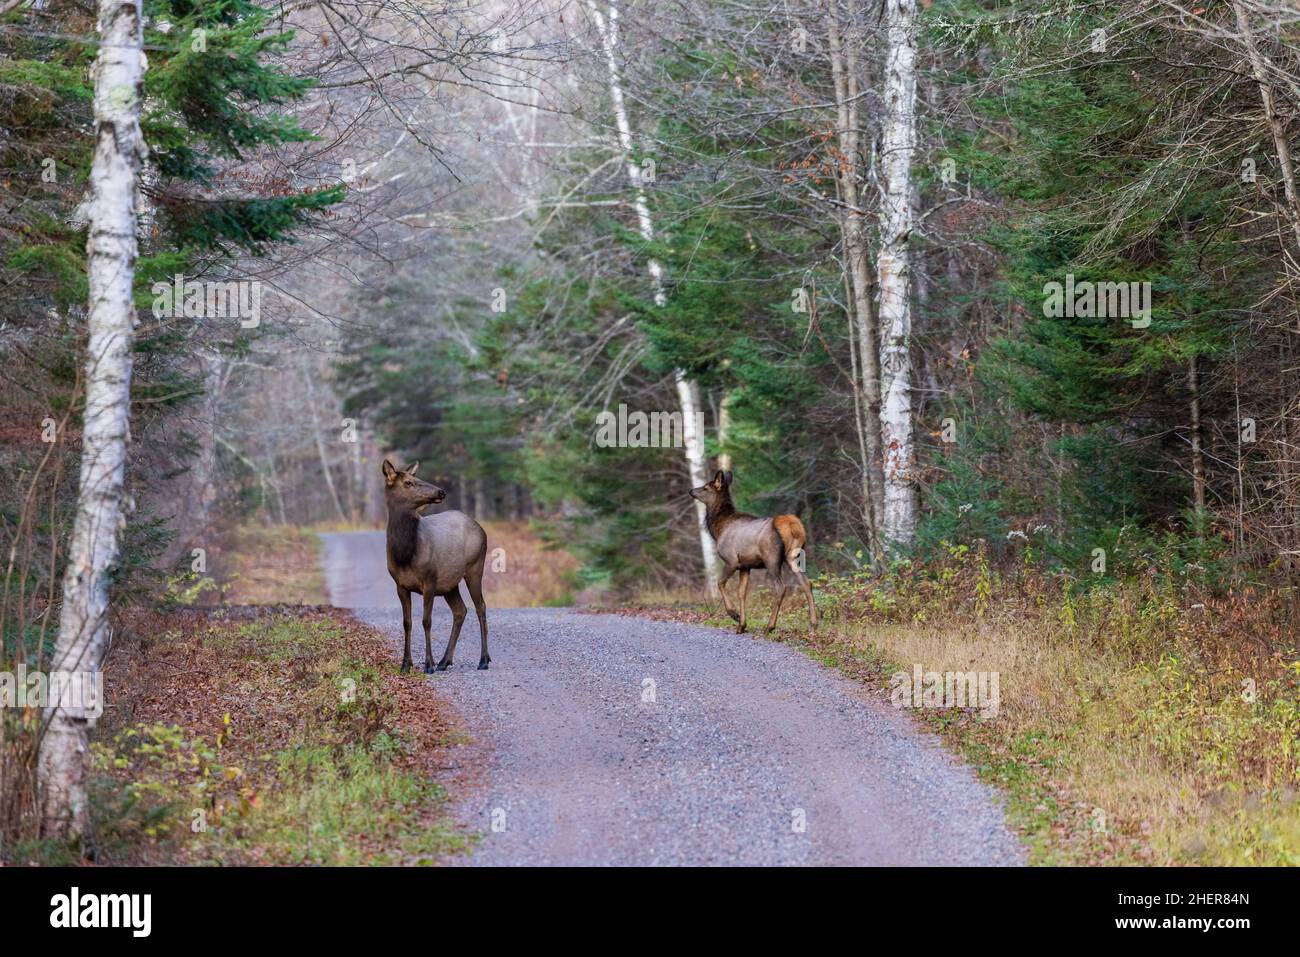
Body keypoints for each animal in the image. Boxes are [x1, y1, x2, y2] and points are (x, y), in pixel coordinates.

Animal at [384, 457, 491, 670]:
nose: (441, 492)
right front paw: (406, 664)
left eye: (417, 478)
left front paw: (428, 664)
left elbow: (427, 621)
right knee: (460, 610)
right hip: (450, 583)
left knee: (480, 607)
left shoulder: (430, 579)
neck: (405, 554)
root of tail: (480, 528)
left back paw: (484, 659)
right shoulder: (400, 584)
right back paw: (444, 660)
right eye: (408, 482)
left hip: (475, 567)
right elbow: (407, 622)